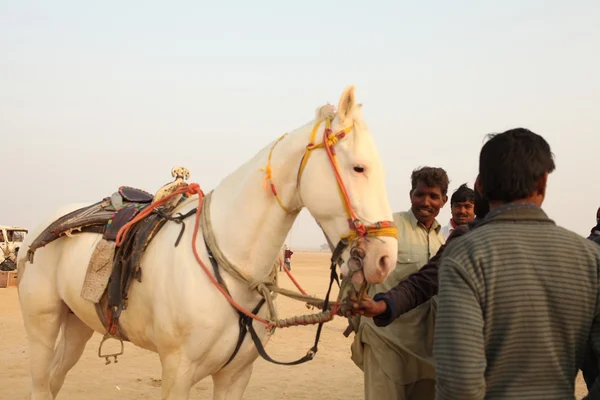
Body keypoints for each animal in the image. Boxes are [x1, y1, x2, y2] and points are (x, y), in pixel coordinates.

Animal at [17, 83, 398, 396]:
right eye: (359, 167)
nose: (385, 258)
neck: (230, 263)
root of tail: (36, 233)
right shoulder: (178, 372)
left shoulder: (236, 376)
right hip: (42, 326)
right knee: (41, 384)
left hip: (78, 323)